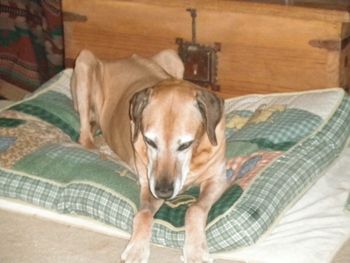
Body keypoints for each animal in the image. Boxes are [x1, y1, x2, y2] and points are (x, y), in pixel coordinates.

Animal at [71, 49, 230, 263]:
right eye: (150, 141)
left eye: (185, 145)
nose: (163, 192)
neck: (193, 157)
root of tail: (117, 60)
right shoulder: (148, 185)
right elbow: (144, 214)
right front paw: (137, 249)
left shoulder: (218, 179)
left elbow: (195, 209)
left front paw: (196, 250)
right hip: (84, 62)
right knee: (85, 137)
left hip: (173, 57)